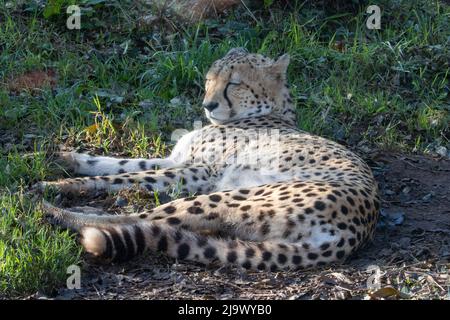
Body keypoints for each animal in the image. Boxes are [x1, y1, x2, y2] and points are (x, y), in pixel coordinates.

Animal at [37, 48, 380, 272]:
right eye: (209, 79)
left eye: (234, 83)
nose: (208, 105)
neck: (268, 113)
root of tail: (357, 230)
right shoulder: (177, 160)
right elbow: (123, 164)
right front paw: (66, 158)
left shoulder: (199, 173)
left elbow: (122, 177)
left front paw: (57, 184)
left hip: (228, 195)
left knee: (140, 219)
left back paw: (54, 211)